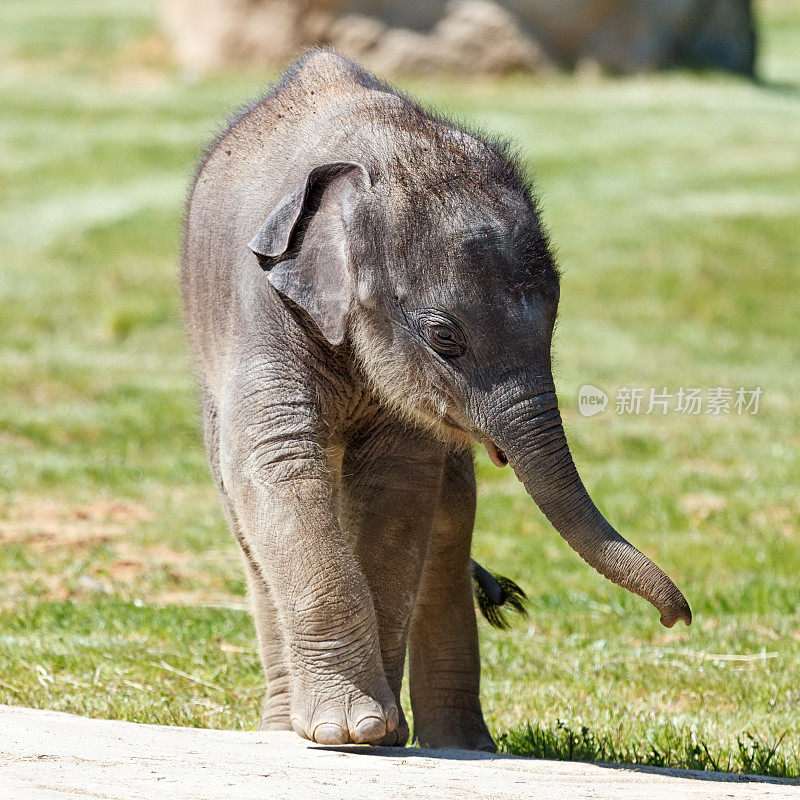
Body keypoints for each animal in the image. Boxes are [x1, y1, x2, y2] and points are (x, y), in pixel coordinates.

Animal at [180, 48, 688, 752]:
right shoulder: (259, 306)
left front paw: (380, 732)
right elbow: (278, 465)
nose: (679, 617)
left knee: (446, 535)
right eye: (445, 336)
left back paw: (461, 745)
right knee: (253, 536)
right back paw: (286, 731)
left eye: (554, 323)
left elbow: (398, 490)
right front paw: (354, 731)